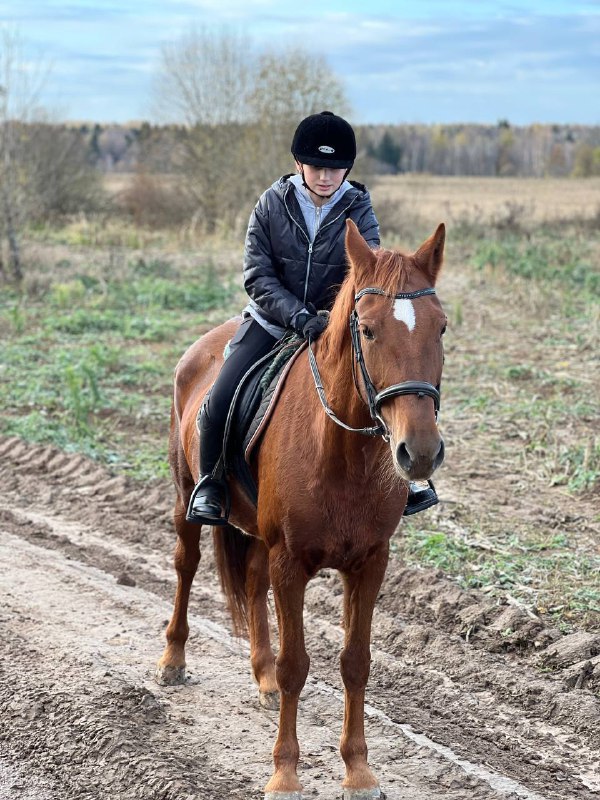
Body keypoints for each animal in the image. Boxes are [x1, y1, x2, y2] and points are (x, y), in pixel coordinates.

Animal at [157, 219, 448, 800]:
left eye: (441, 329)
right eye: (368, 330)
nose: (421, 452)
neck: (342, 454)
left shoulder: (369, 563)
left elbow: (356, 663)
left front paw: (359, 771)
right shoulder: (290, 561)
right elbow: (297, 665)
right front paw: (285, 774)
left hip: (256, 532)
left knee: (250, 584)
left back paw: (261, 676)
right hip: (185, 498)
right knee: (186, 566)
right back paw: (173, 660)